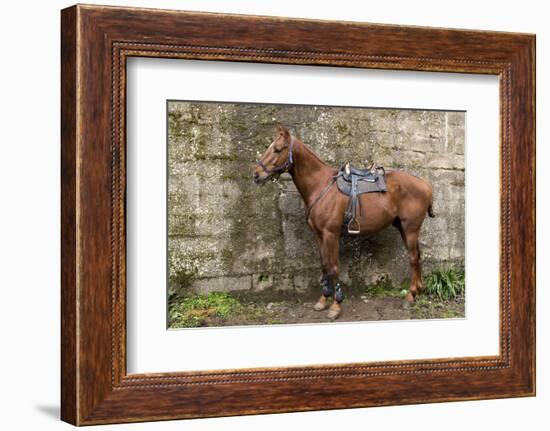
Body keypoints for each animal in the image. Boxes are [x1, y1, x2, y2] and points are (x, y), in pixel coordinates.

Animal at [254, 125, 436, 320]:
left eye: (277, 149)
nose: (256, 175)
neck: (320, 185)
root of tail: (426, 185)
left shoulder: (331, 234)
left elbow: (334, 267)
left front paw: (336, 305)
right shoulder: (319, 235)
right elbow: (325, 265)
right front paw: (323, 299)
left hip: (410, 229)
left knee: (413, 258)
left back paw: (410, 296)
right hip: (402, 227)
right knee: (417, 257)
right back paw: (416, 291)